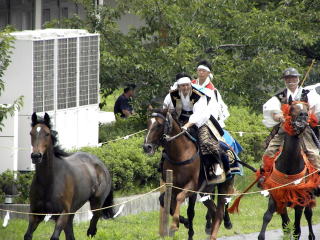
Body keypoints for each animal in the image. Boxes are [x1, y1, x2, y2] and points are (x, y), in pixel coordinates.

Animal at [144, 111, 234, 240]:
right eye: (148, 124)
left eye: (159, 125)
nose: (147, 147)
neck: (180, 154)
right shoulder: (172, 185)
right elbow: (164, 201)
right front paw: (183, 222)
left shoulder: (191, 186)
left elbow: (182, 200)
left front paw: (174, 225)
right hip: (205, 191)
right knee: (214, 210)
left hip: (225, 184)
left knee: (221, 210)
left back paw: (222, 227)